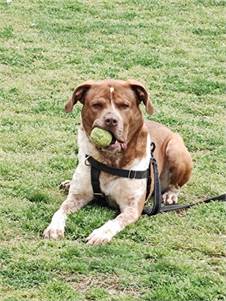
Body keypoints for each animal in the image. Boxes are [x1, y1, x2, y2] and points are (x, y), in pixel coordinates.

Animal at [42, 79, 192, 244]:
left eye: (124, 105)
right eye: (97, 105)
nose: (111, 120)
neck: (110, 160)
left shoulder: (132, 207)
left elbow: (115, 221)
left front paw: (101, 234)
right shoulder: (77, 196)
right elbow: (60, 210)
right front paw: (54, 227)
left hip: (175, 149)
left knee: (176, 184)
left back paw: (170, 194)